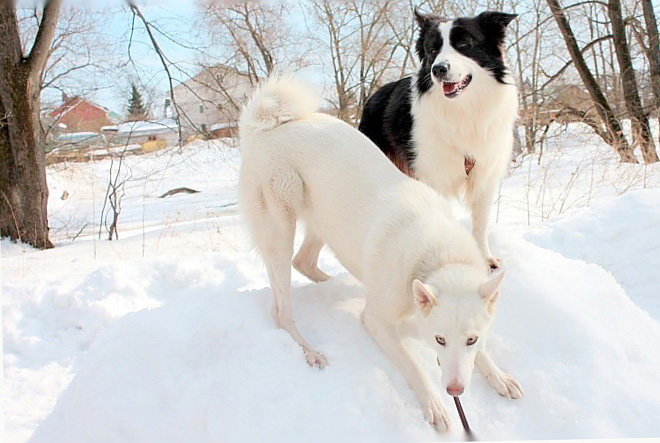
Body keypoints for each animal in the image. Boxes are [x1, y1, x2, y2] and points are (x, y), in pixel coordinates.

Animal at [240, 78, 524, 432]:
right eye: (439, 339)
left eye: (471, 340)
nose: (455, 390)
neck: (438, 257)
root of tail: (267, 126)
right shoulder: (375, 320)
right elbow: (413, 364)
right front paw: (435, 404)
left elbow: (481, 354)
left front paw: (497, 374)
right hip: (281, 227)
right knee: (281, 310)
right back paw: (309, 349)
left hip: (325, 219)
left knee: (303, 261)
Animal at [358, 9, 520, 268]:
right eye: (433, 50)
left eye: (463, 44)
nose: (438, 69)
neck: (464, 109)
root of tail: (373, 97)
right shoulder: (435, 177)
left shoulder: (485, 175)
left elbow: (480, 223)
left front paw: (485, 259)